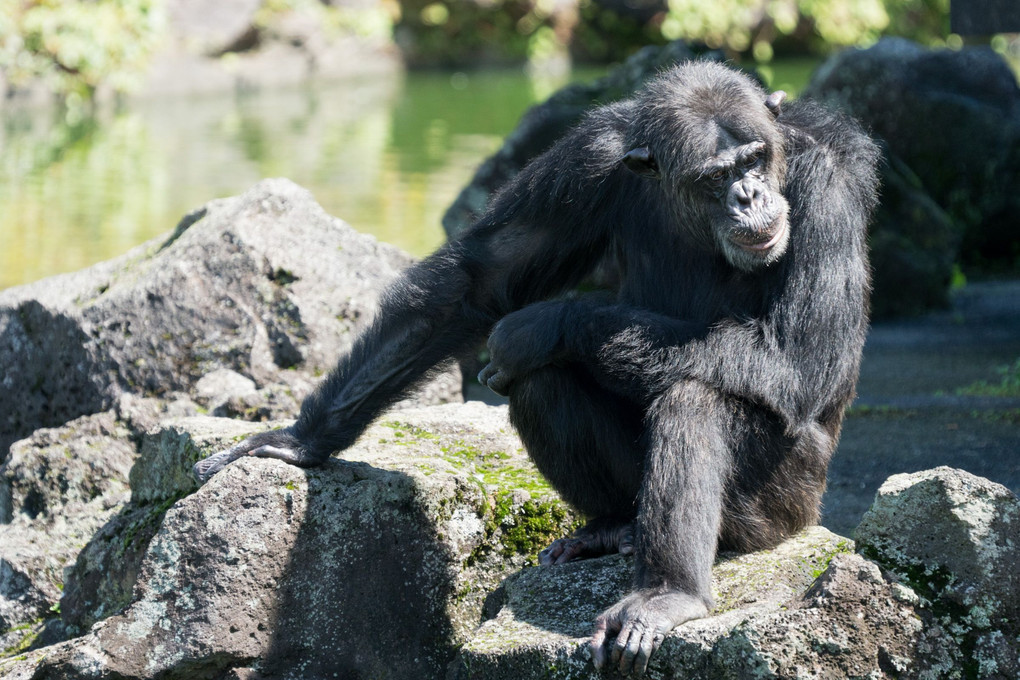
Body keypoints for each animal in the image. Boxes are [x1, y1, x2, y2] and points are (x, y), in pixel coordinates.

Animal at [194, 62, 881, 676]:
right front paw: (299, 440)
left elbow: (794, 356)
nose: (749, 194)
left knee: (697, 400)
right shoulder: (588, 159)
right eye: (716, 176)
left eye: (755, 159)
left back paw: (669, 596)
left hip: (782, 506)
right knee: (540, 382)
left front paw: (541, 324)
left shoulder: (826, 188)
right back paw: (609, 529)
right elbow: (478, 282)